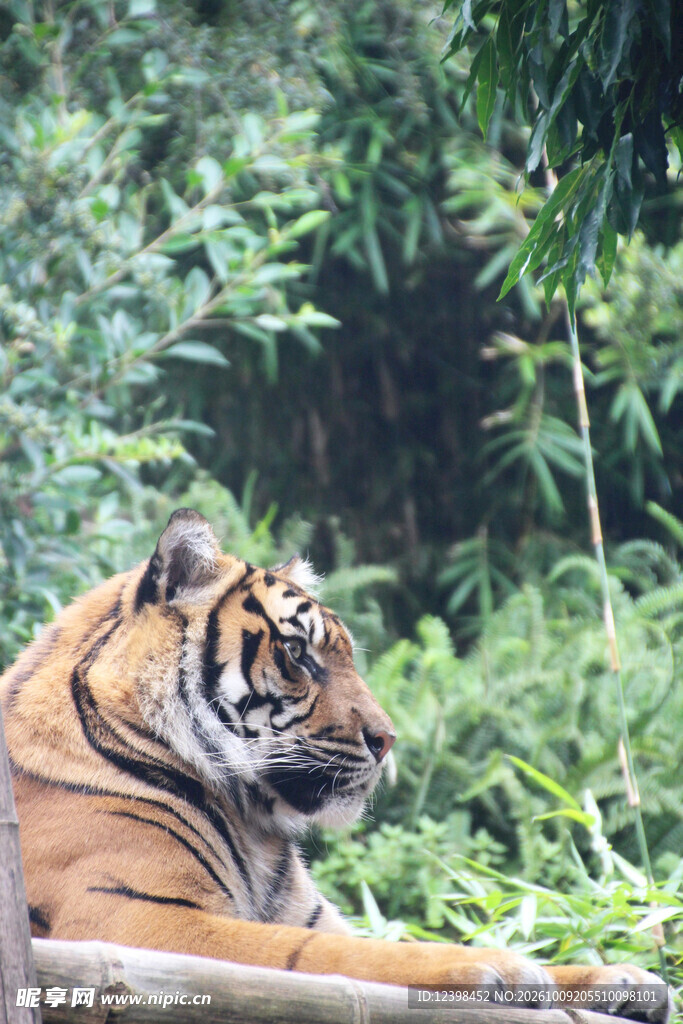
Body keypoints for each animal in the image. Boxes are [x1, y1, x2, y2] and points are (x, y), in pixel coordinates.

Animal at [0, 509, 671, 1021]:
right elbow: (344, 959)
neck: (251, 825)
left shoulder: (306, 916)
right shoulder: (137, 923)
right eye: (298, 653)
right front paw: (500, 967)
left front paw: (623, 979)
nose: (387, 738)